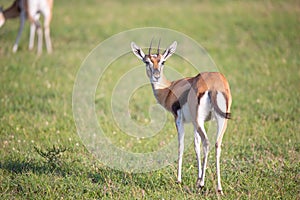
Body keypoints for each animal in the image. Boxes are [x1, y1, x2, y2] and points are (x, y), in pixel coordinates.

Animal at [131, 40, 232, 195]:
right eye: (147, 61)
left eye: (163, 61)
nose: (156, 75)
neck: (169, 89)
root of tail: (214, 85)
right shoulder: (195, 124)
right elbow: (196, 145)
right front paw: (197, 178)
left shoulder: (178, 119)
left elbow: (181, 145)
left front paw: (179, 180)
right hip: (218, 121)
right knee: (217, 144)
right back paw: (219, 188)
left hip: (199, 120)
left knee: (207, 143)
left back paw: (202, 184)